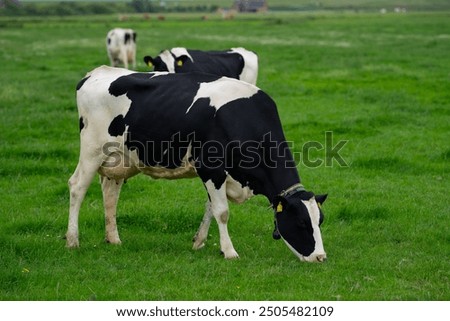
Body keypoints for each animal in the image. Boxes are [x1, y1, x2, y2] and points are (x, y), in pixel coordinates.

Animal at [67, 65, 326, 262]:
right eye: (301, 223)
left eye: (320, 221)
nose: (320, 257)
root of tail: (98, 72)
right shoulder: (211, 168)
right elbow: (222, 211)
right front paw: (229, 251)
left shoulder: (221, 175)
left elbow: (210, 207)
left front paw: (199, 242)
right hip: (91, 150)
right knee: (77, 187)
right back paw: (72, 240)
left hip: (119, 160)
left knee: (110, 192)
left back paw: (113, 239)